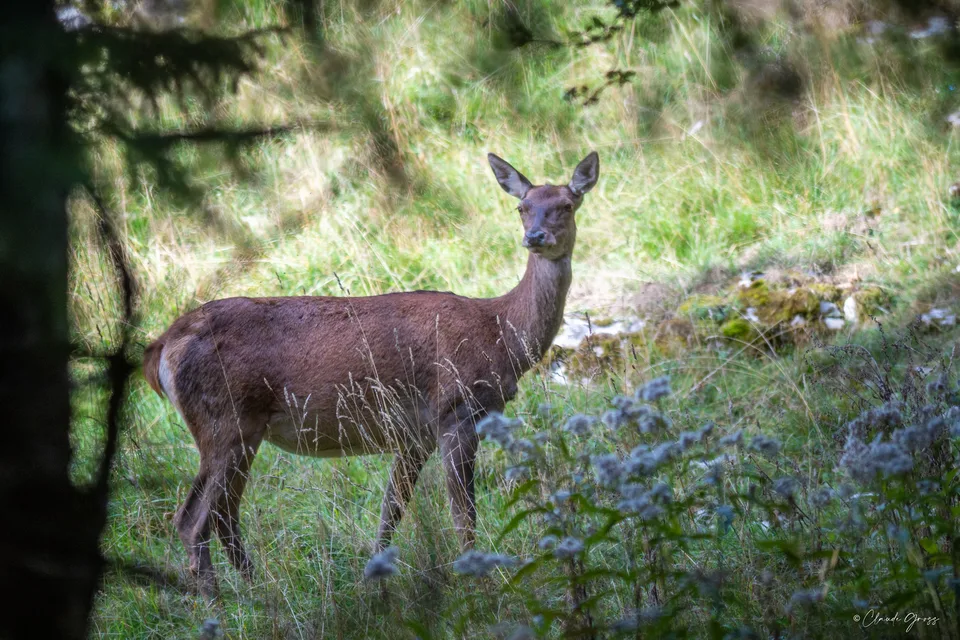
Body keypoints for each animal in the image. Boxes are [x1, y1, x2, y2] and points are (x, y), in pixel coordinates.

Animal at [142, 151, 599, 597]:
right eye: (522, 207)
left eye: (566, 204)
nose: (536, 237)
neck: (500, 334)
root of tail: (162, 346)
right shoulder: (455, 411)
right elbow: (464, 514)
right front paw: (482, 584)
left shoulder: (415, 433)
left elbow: (390, 510)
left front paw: (374, 580)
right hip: (223, 421)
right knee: (192, 520)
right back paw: (217, 601)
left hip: (242, 432)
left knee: (224, 514)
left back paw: (260, 591)